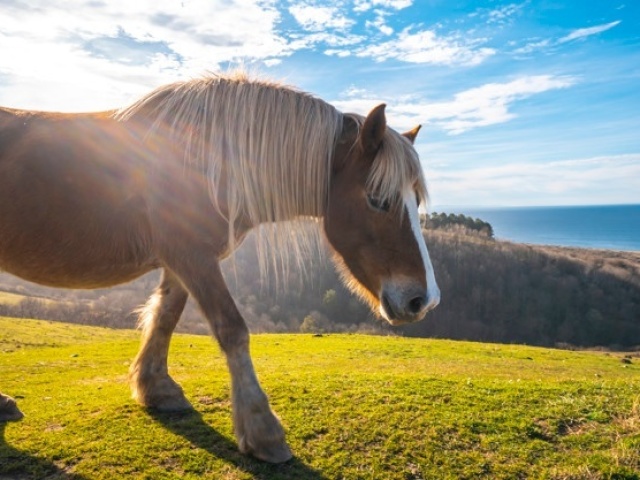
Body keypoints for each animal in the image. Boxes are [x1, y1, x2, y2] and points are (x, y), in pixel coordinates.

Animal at [0, 72, 440, 464]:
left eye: (415, 201)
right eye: (378, 199)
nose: (424, 300)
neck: (207, 160)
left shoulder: (182, 259)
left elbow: (165, 315)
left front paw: (155, 387)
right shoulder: (191, 255)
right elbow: (232, 329)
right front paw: (263, 431)